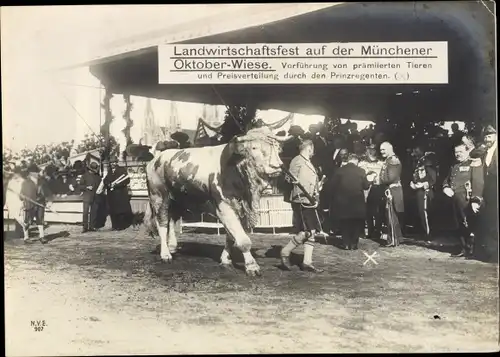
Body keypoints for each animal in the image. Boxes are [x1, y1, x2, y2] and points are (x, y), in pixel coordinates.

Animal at [145, 126, 290, 276]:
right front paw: (252, 266)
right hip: (159, 197)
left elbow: (231, 235)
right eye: (254, 147)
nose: (277, 166)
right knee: (162, 223)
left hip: (178, 199)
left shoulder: (240, 207)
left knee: (172, 220)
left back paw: (172, 247)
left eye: (277, 148)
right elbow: (242, 239)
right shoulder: (224, 205)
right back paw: (165, 254)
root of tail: (156, 159)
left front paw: (225, 259)